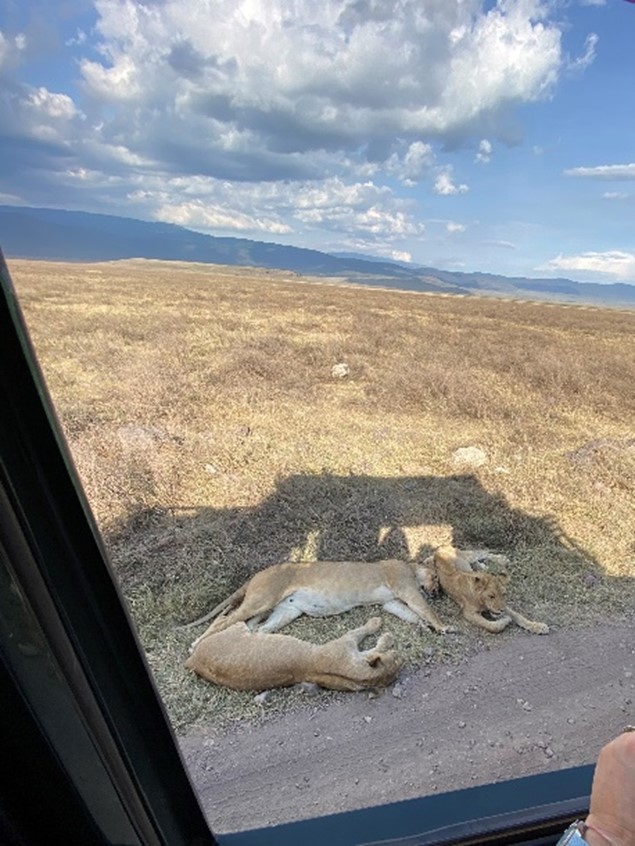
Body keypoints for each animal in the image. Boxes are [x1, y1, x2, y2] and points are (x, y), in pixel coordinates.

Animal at [184, 560, 452, 652]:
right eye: (436, 578)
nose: (438, 592)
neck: (411, 567)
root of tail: (256, 575)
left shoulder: (391, 602)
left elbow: (408, 612)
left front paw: (424, 626)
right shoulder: (405, 586)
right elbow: (424, 607)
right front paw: (443, 626)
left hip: (286, 610)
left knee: (256, 628)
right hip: (262, 599)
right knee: (223, 619)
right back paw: (196, 644)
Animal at [185, 620, 402, 692]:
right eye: (396, 660)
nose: (398, 655)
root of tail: (193, 661)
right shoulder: (345, 641)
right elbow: (362, 630)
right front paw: (380, 626)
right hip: (238, 628)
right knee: (221, 621)